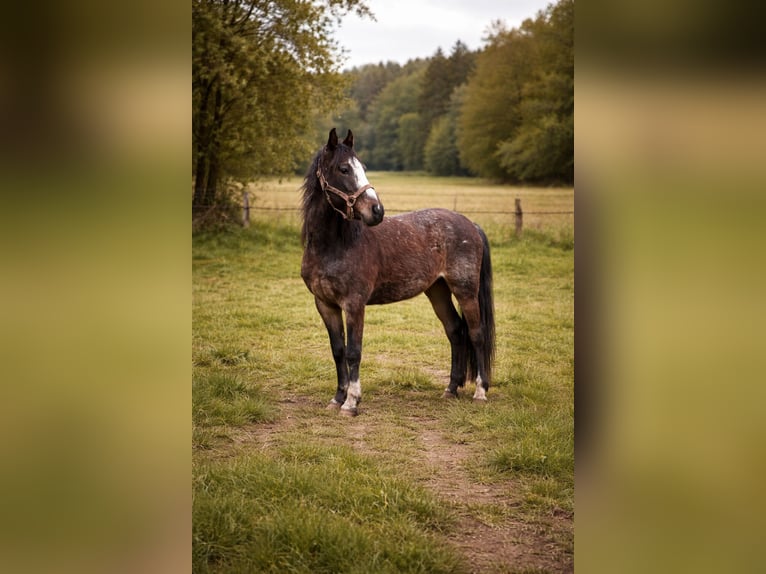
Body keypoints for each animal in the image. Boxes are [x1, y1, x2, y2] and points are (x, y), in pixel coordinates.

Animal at [300, 128, 495, 416]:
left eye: (363, 168)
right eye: (344, 169)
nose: (377, 211)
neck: (334, 245)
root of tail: (470, 223)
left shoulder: (354, 304)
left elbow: (353, 351)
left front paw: (351, 402)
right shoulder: (325, 304)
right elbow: (337, 350)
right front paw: (337, 398)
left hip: (466, 291)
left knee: (476, 333)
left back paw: (480, 392)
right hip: (437, 291)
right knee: (455, 331)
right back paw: (450, 389)